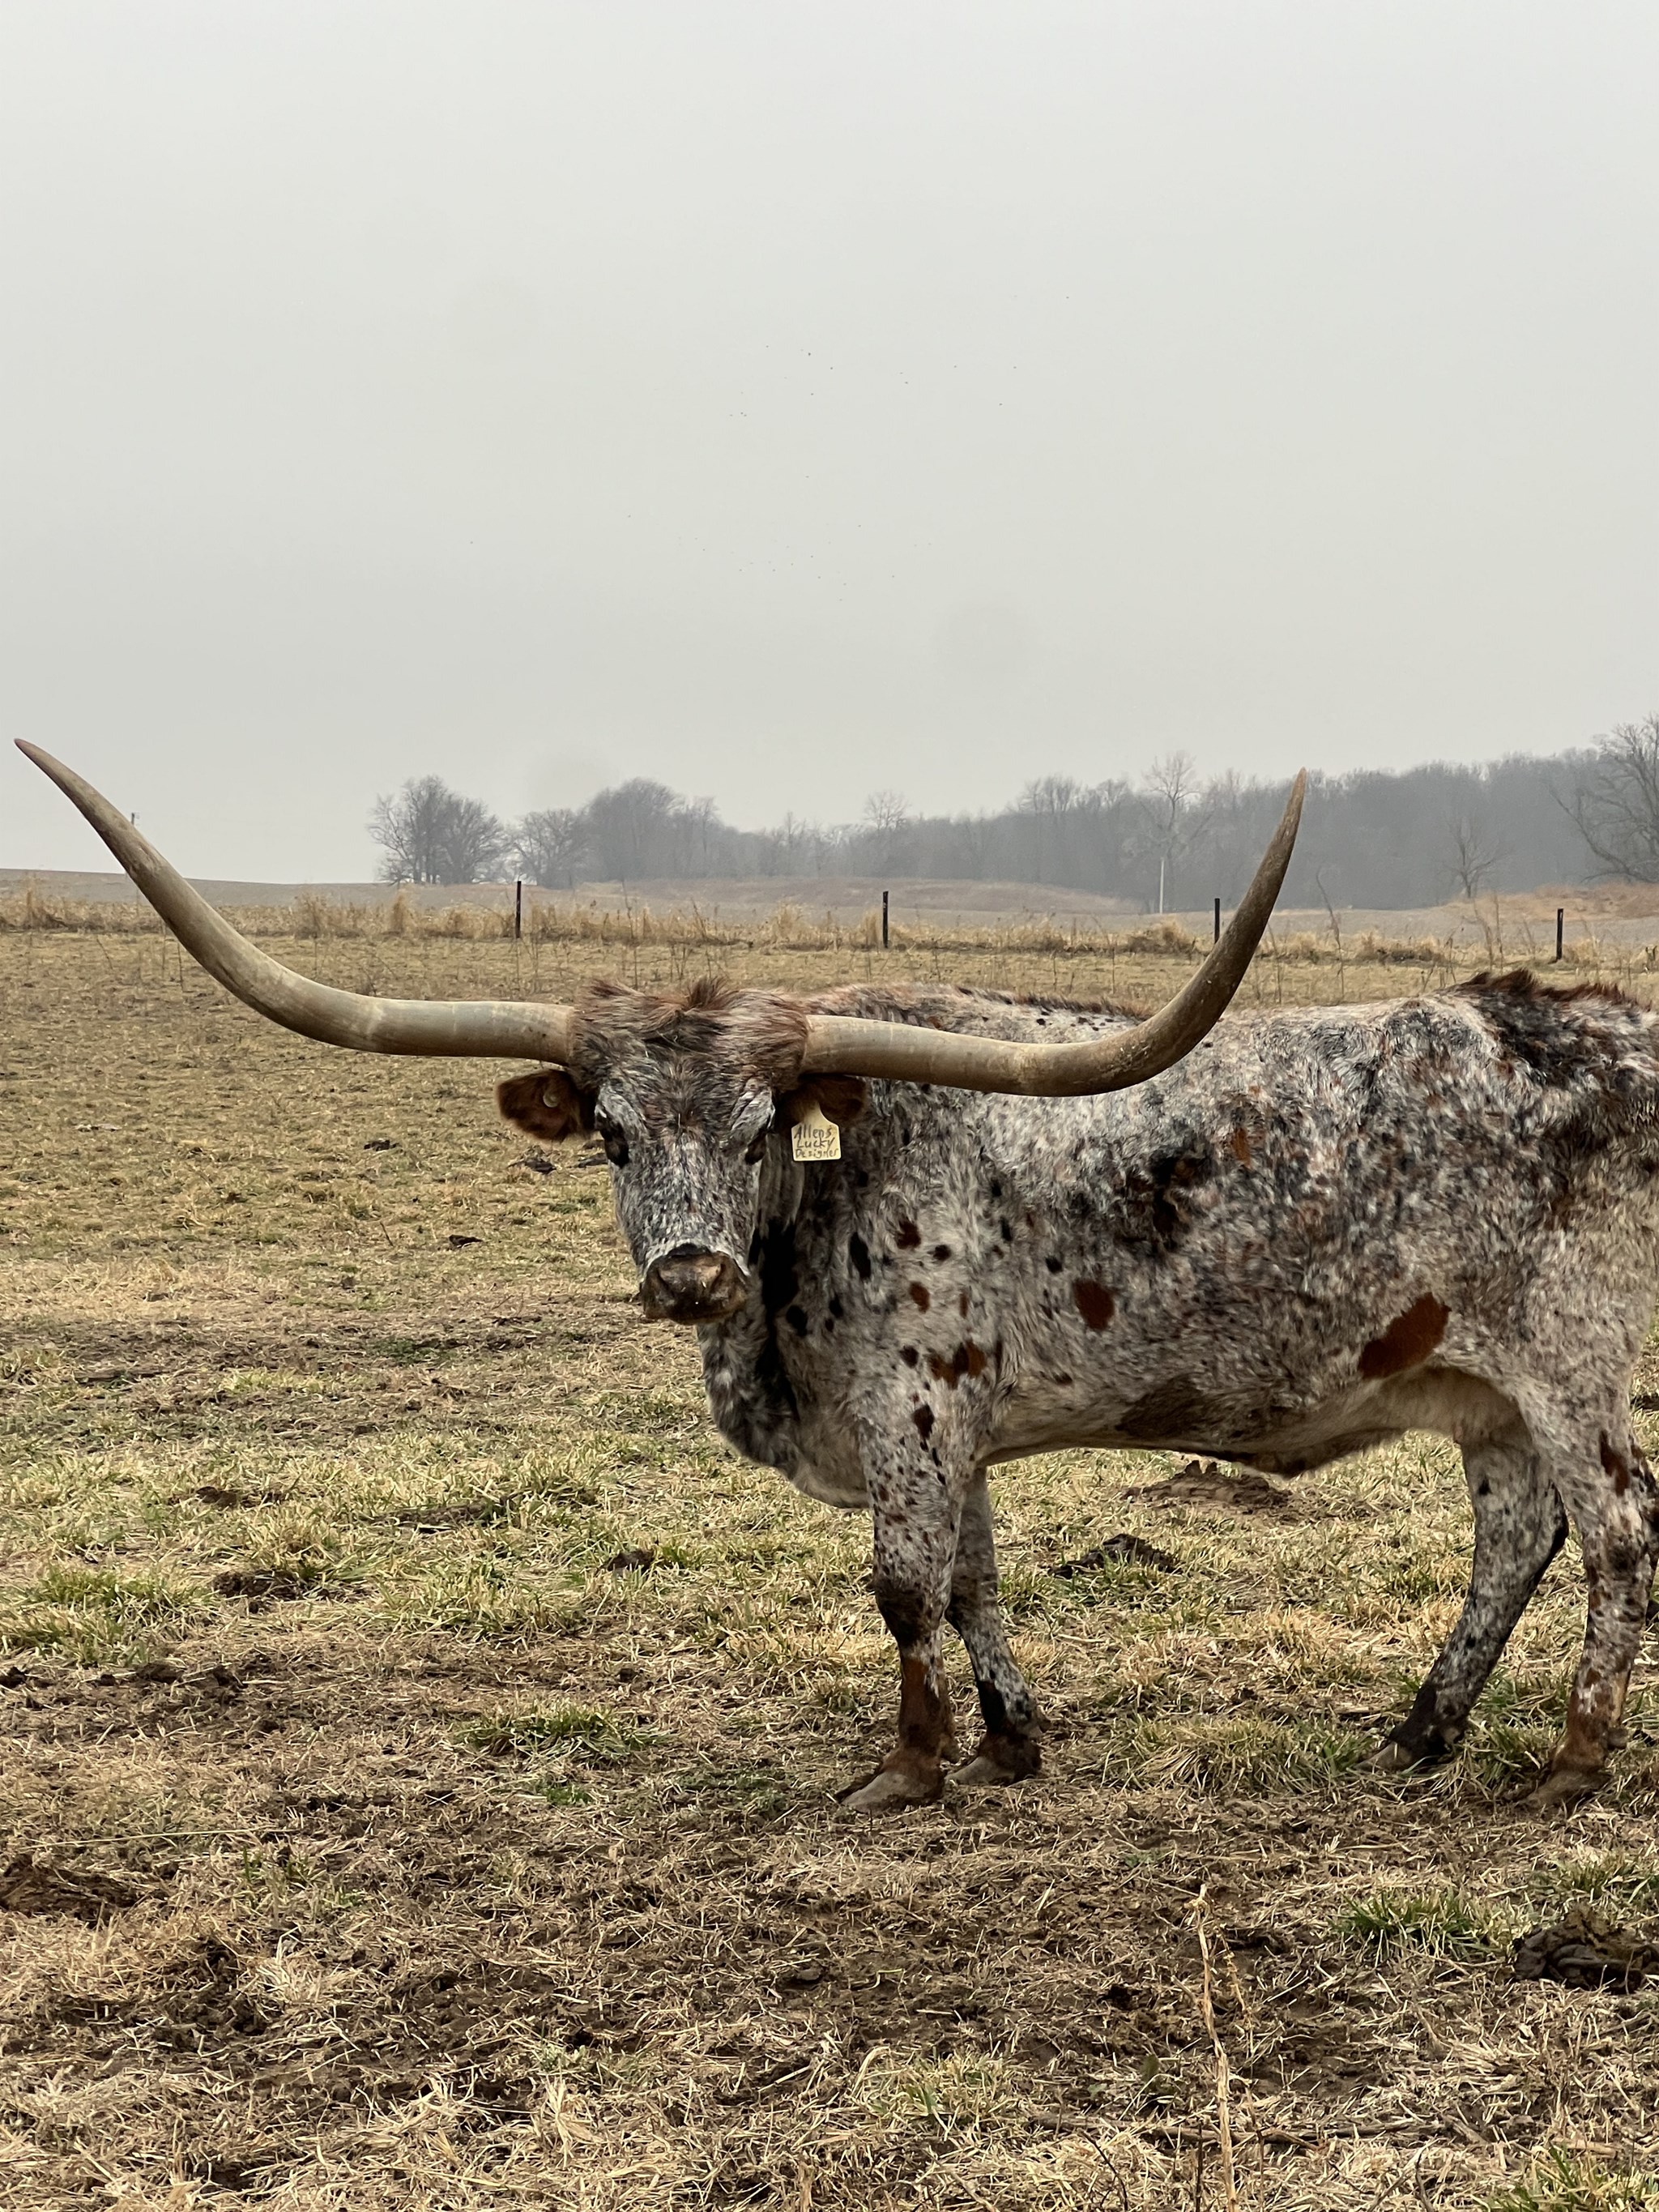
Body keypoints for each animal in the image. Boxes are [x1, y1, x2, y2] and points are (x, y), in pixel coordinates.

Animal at [21, 740, 1659, 1814]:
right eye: (610, 1133)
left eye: (761, 1125)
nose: (689, 1273)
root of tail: (1590, 1028)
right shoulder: (961, 1427)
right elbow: (974, 1578)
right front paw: (1007, 1743)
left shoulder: (915, 1406)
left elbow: (900, 1584)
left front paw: (911, 1768)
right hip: (1475, 1380)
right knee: (1515, 1533)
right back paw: (1422, 1729)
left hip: (1570, 1359)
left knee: (1616, 1533)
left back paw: (1568, 1764)